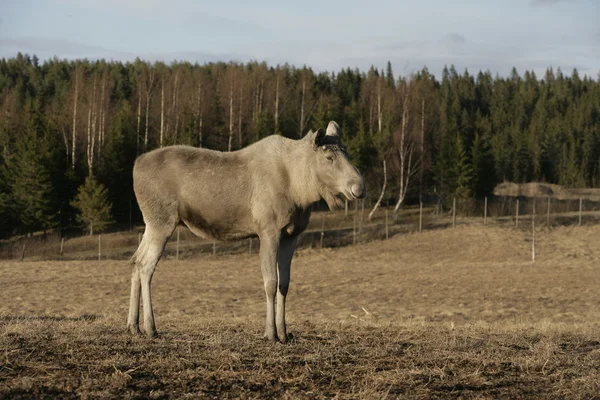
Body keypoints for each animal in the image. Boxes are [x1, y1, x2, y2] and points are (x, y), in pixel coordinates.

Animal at [126, 120, 366, 342]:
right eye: (329, 158)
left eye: (346, 152)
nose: (360, 187)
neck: (300, 191)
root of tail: (136, 166)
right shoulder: (268, 230)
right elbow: (270, 283)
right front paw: (270, 333)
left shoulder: (291, 235)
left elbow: (285, 284)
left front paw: (284, 333)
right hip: (162, 221)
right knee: (146, 265)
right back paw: (150, 327)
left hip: (152, 224)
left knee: (135, 260)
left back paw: (133, 326)